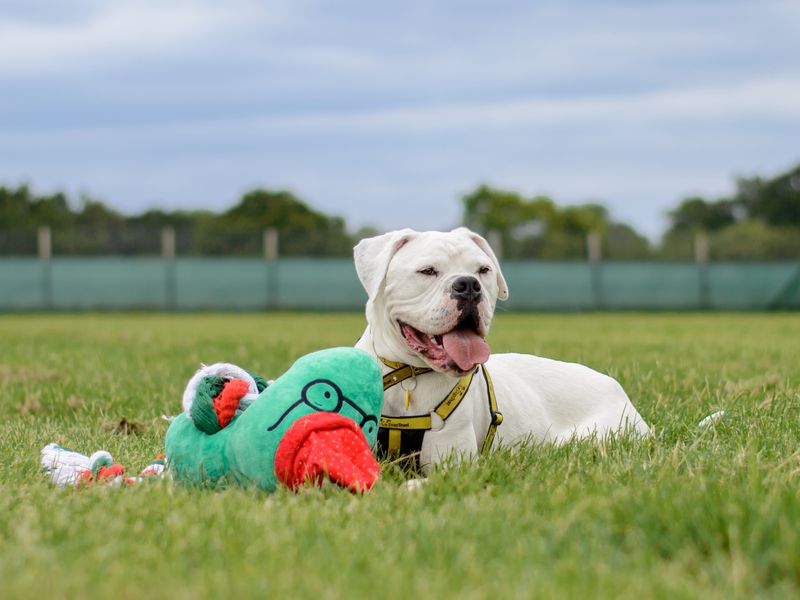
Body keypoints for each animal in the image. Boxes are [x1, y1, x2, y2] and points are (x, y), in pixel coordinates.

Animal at [354, 227, 648, 472]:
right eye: (427, 271)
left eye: (483, 270)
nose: (468, 285)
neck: (409, 377)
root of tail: (614, 385)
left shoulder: (453, 468)